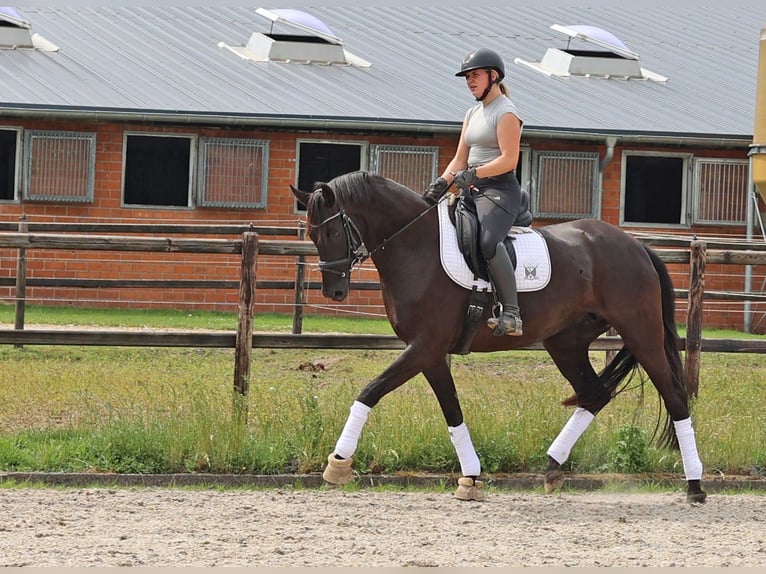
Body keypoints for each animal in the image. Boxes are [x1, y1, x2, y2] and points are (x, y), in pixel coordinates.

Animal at [292, 171, 708, 504]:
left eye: (331, 230)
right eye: (312, 234)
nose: (334, 293)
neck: (415, 245)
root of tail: (636, 245)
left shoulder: (423, 347)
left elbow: (369, 391)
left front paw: (338, 464)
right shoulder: (430, 353)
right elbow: (452, 410)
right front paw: (471, 479)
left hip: (641, 333)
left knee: (675, 396)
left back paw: (695, 487)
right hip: (566, 343)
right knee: (595, 395)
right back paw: (552, 468)